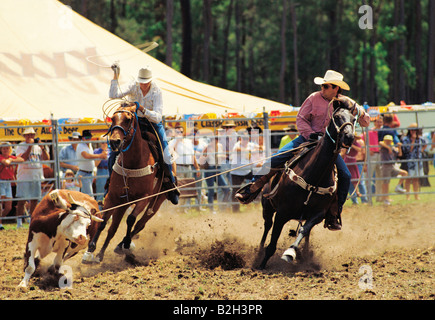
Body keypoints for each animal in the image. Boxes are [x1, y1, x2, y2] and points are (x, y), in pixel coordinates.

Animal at [83, 102, 167, 262]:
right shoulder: (113, 196)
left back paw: (122, 246)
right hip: (123, 203)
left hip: (156, 202)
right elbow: (104, 222)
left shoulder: (144, 198)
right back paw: (101, 254)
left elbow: (131, 219)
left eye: (128, 119)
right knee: (113, 228)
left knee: (140, 224)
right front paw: (90, 249)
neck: (133, 163)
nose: (115, 141)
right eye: (113, 118)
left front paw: (126, 245)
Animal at [258, 98, 358, 270]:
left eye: (353, 119)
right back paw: (258, 253)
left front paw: (291, 253)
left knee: (304, 232)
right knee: (267, 226)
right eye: (337, 117)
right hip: (268, 207)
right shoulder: (282, 212)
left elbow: (304, 230)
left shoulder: (318, 214)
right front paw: (261, 265)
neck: (314, 177)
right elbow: (271, 244)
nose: (349, 137)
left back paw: (304, 254)